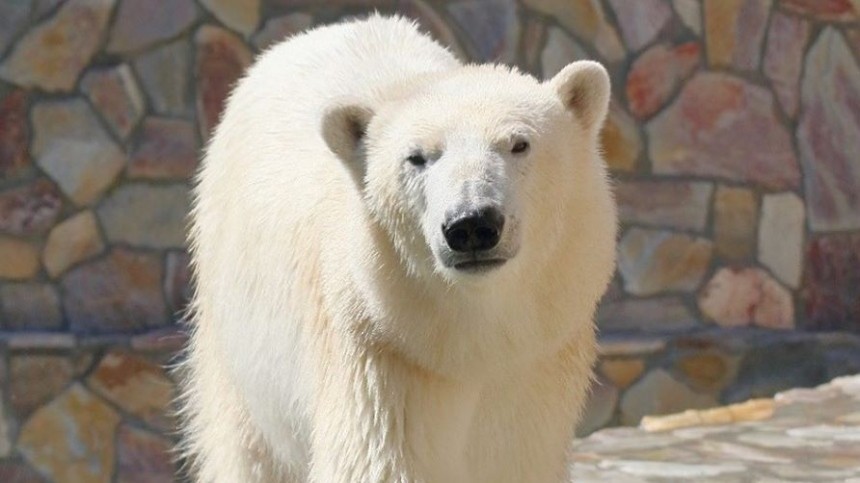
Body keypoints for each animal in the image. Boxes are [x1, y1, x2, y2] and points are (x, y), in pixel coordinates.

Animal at [178, 13, 616, 483]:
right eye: (418, 157)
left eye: (519, 143)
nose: (472, 224)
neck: (475, 338)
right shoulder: (381, 356)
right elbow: (379, 462)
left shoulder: (536, 367)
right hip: (237, 345)